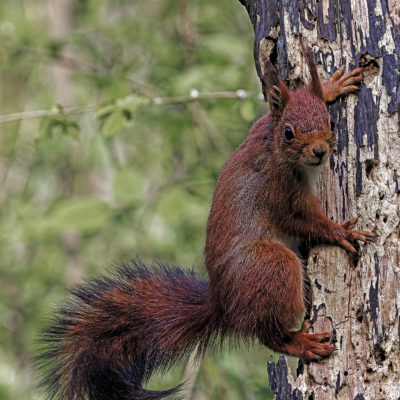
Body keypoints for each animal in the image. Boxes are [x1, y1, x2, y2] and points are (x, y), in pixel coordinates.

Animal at [37, 42, 374, 400]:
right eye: (288, 132)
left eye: (331, 123)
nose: (320, 152)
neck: (274, 149)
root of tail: (224, 306)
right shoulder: (280, 192)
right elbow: (305, 220)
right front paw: (341, 231)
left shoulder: (259, 128)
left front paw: (330, 87)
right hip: (271, 266)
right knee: (269, 334)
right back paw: (300, 342)